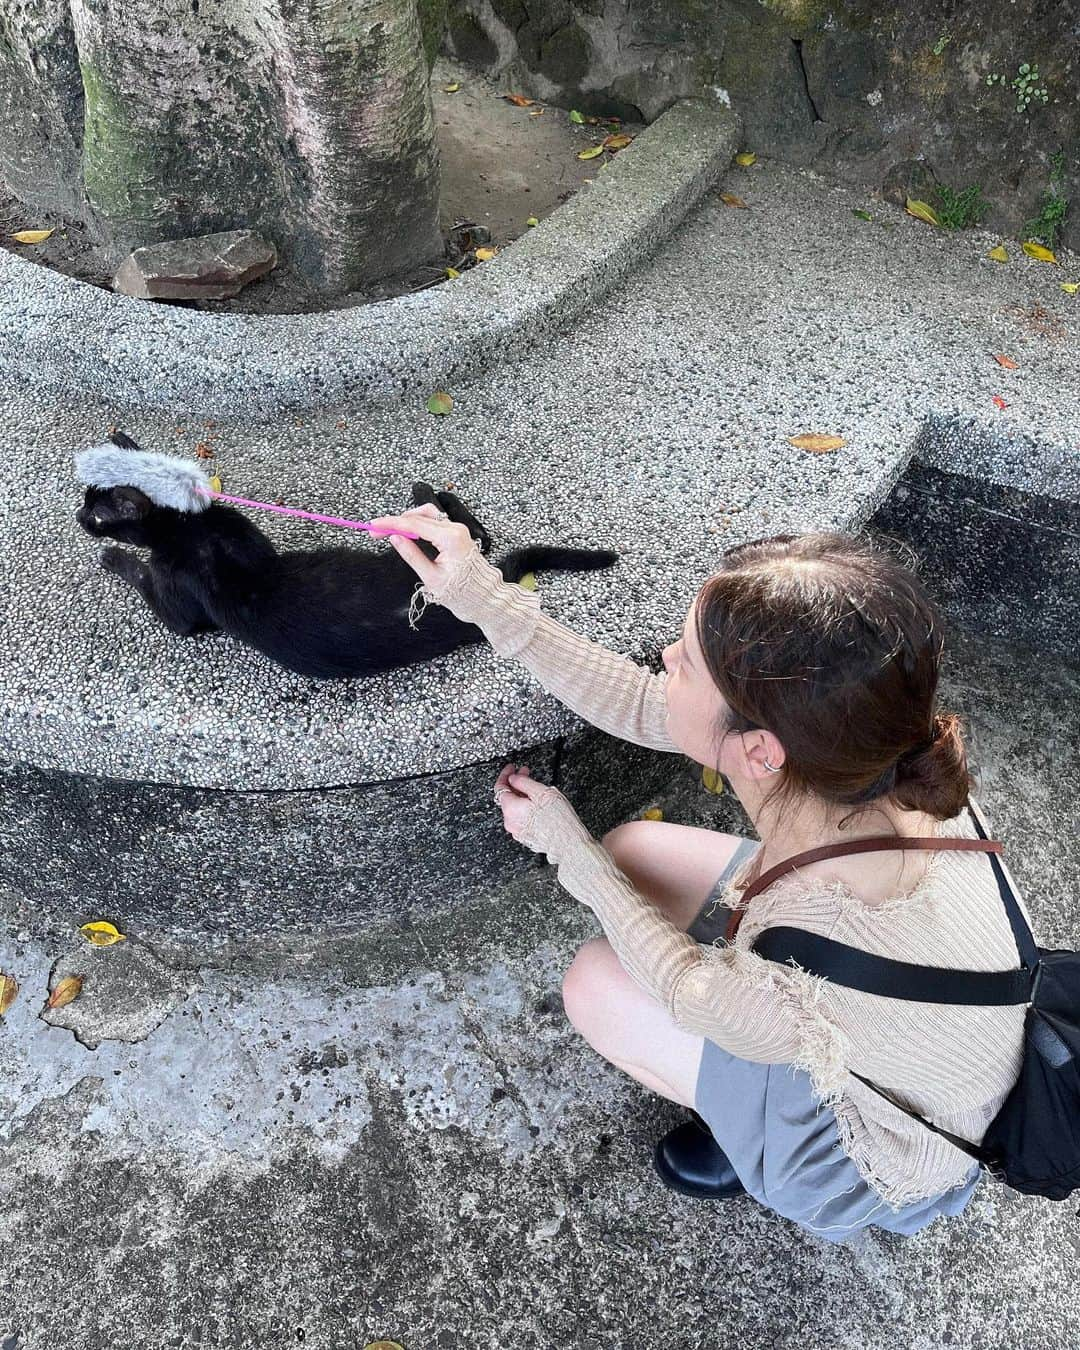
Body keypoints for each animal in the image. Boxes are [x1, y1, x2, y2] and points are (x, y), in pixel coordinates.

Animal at [75, 477, 615, 680]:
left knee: (473, 532)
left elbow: (145, 577)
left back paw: (426, 489)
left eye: (96, 514)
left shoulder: (180, 608)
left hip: (416, 553)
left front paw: (111, 557)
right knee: (478, 534)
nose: (77, 517)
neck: (190, 527)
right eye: (85, 501)